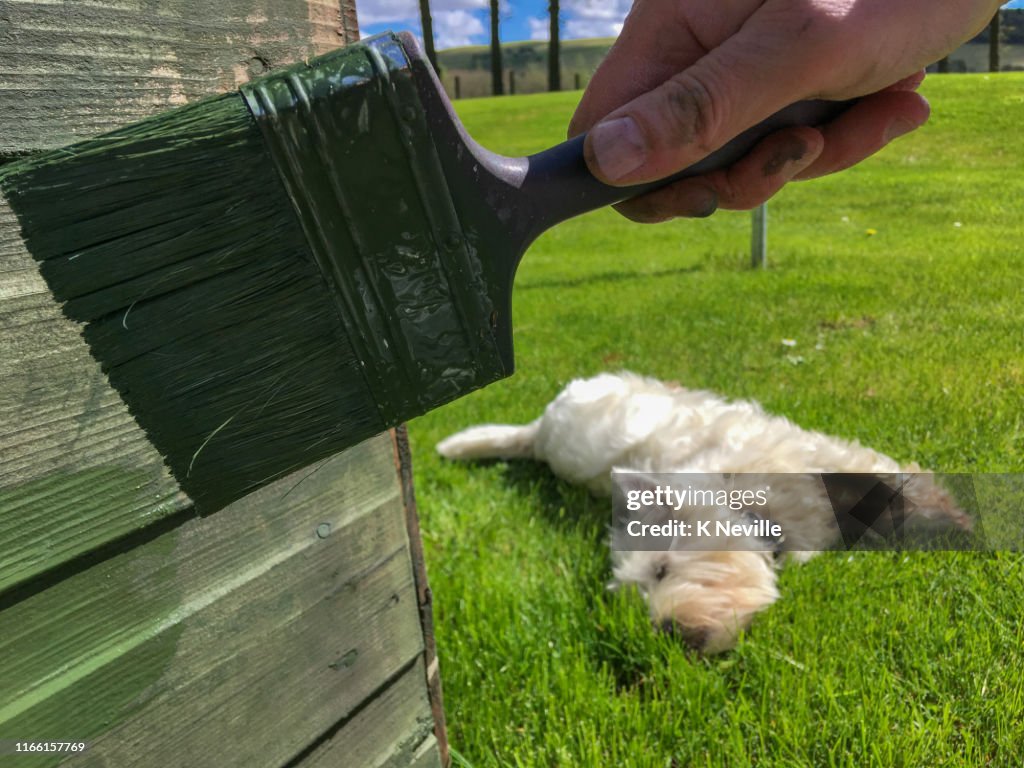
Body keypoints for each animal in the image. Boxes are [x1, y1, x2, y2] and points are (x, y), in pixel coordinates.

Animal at [436, 372, 970, 655]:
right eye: (636, 595)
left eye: (661, 569)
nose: (668, 634)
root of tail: (539, 429)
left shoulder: (820, 458)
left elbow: (900, 485)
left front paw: (950, 521)